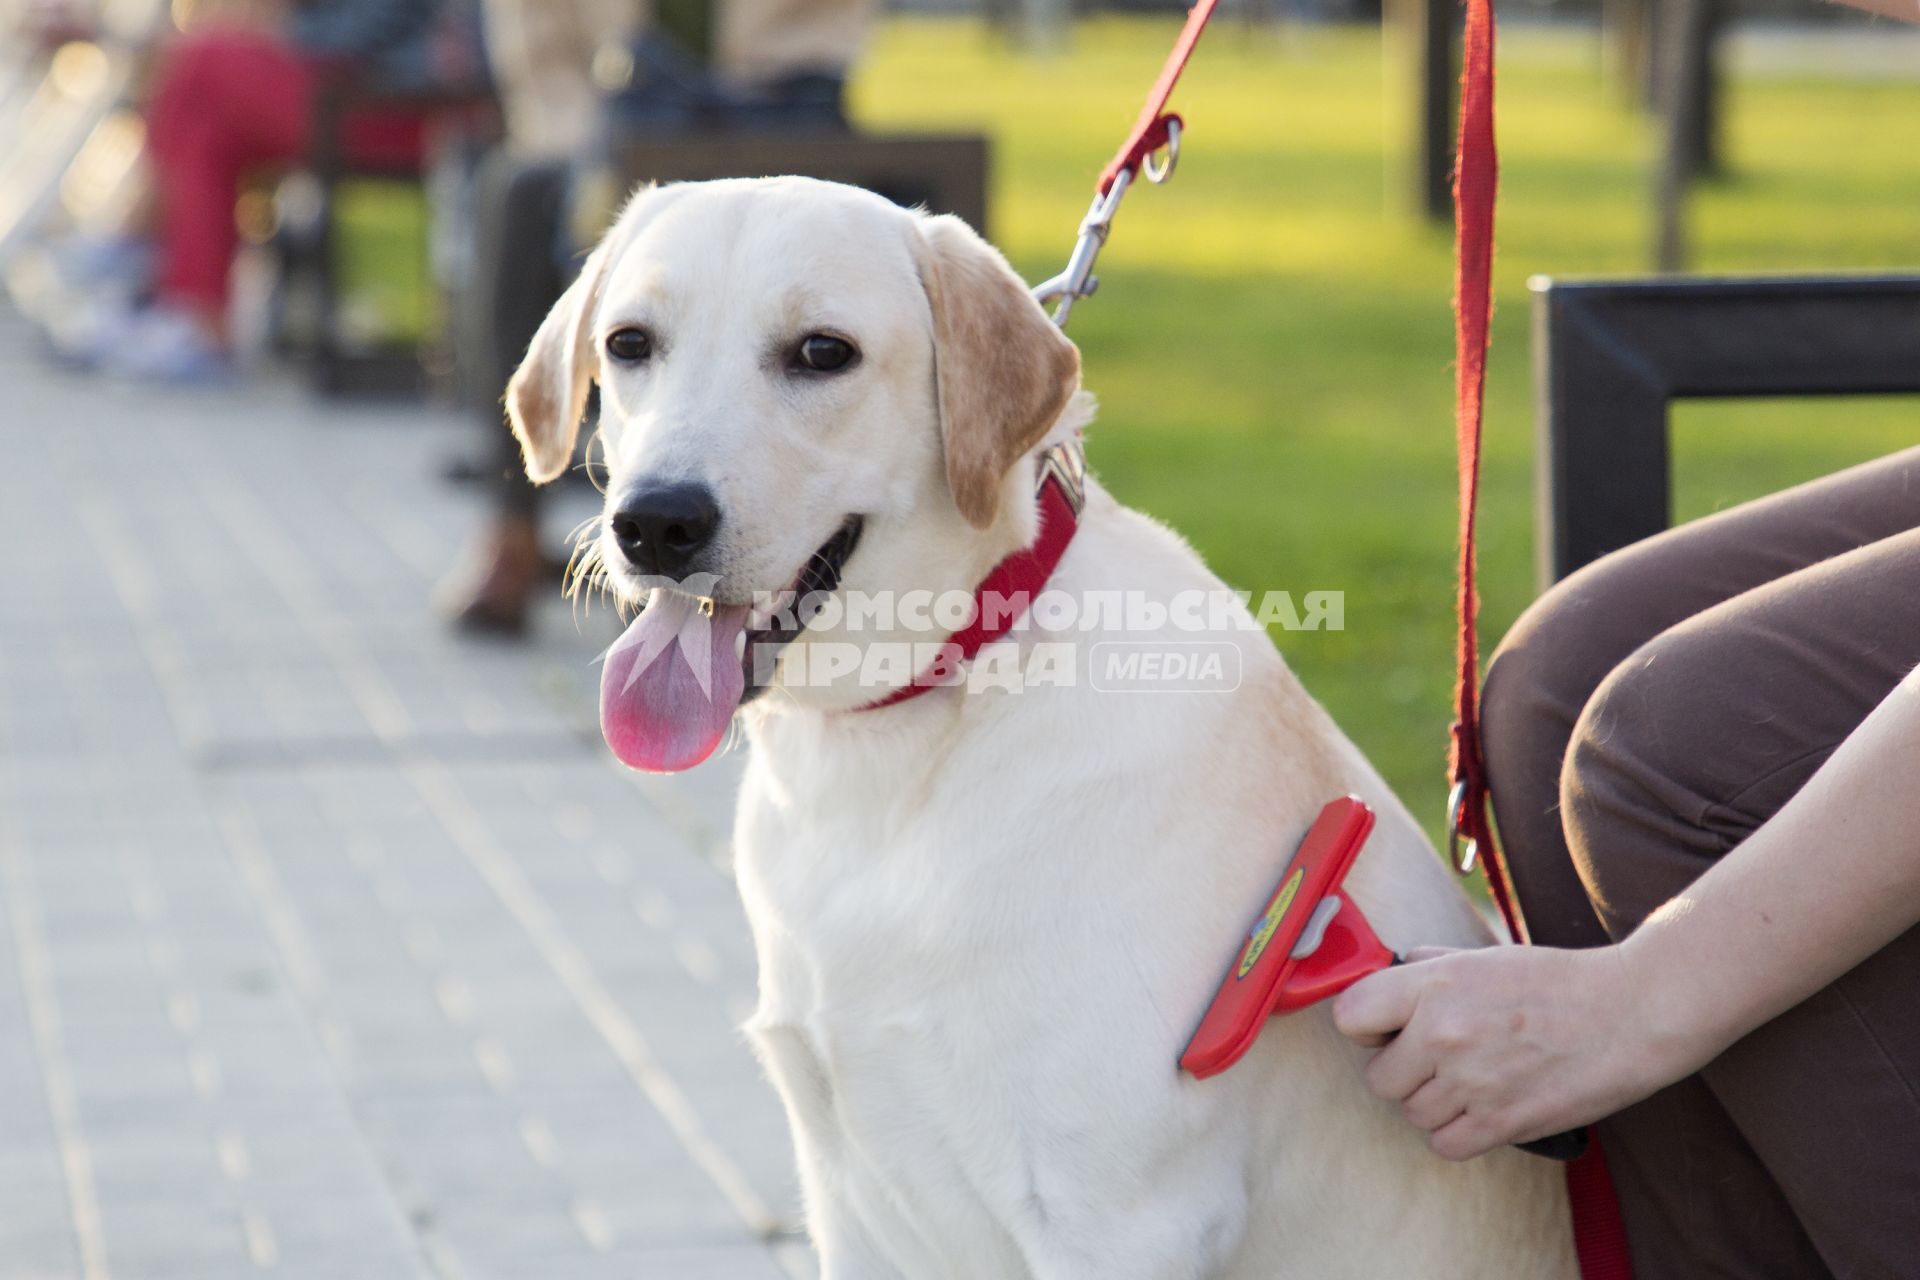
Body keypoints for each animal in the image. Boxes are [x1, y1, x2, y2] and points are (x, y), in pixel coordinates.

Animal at [510, 175, 1574, 1274]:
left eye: (822, 352)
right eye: (630, 343)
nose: (656, 522)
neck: (898, 752)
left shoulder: (1119, 1219)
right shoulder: (847, 1197)